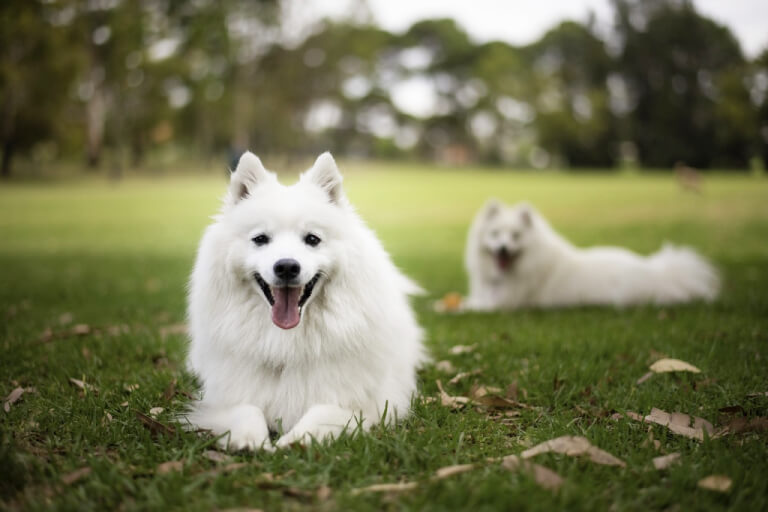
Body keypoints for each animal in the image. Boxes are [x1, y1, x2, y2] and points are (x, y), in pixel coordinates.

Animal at [186, 151, 426, 448]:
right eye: (260, 239)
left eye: (312, 239)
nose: (287, 267)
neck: (287, 342)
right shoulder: (225, 397)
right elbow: (247, 409)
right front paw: (251, 440)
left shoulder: (369, 403)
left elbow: (320, 412)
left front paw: (292, 441)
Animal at [462, 199, 720, 312]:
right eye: (495, 234)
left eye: (516, 236)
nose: (503, 249)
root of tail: (659, 272)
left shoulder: (505, 304)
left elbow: (468, 307)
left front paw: (456, 308)